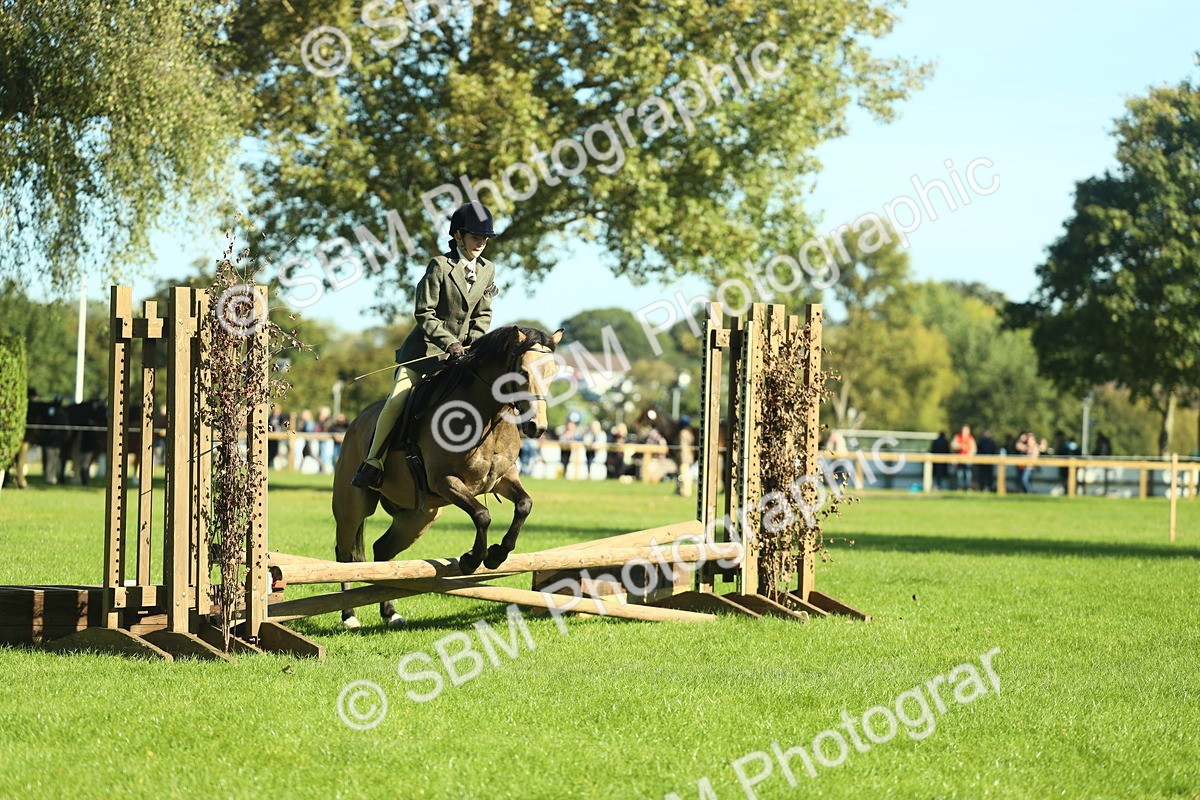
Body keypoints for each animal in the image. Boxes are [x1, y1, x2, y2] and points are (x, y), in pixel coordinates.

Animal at [331, 324, 563, 629]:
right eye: (522, 373)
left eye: (553, 373)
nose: (538, 427)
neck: (487, 417)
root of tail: (356, 421)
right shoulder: (444, 481)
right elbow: (482, 516)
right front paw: (472, 560)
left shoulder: (503, 479)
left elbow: (524, 505)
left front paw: (497, 555)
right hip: (352, 506)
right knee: (344, 555)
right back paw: (349, 615)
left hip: (419, 517)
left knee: (383, 551)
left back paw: (390, 612)